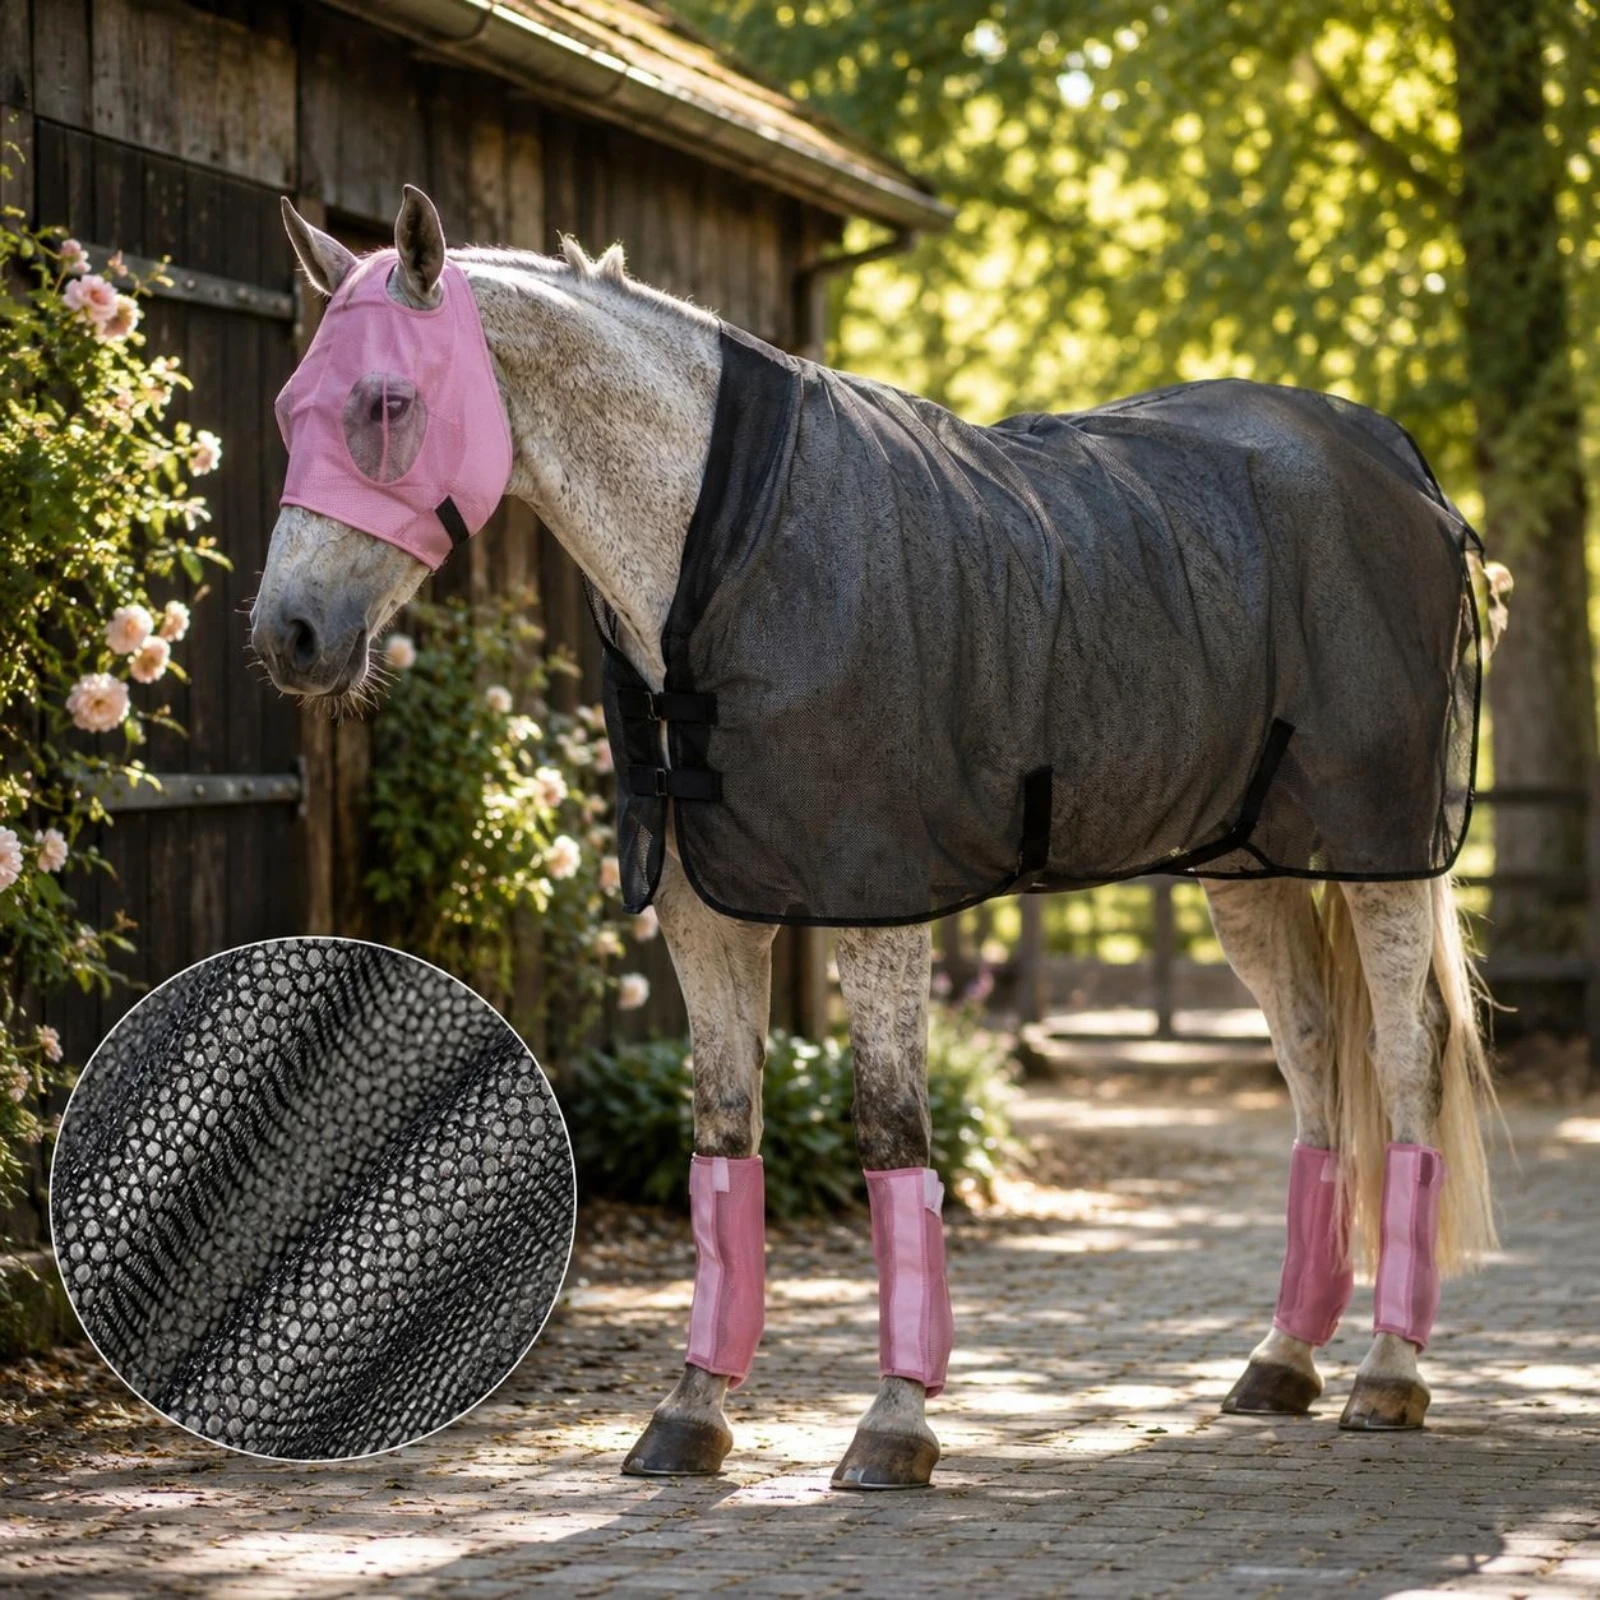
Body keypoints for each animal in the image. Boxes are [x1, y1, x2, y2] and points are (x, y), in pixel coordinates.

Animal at [253, 185, 1506, 1490]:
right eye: (290, 409)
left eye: (387, 403)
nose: (287, 635)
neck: (728, 544)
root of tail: (1403, 467)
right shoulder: (706, 911)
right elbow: (723, 1129)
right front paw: (691, 1413)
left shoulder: (879, 901)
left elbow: (892, 1125)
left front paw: (896, 1422)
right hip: (1244, 867)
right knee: (1311, 1055)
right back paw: (1282, 1361)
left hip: (1380, 859)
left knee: (1404, 1066)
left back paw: (1388, 1375)